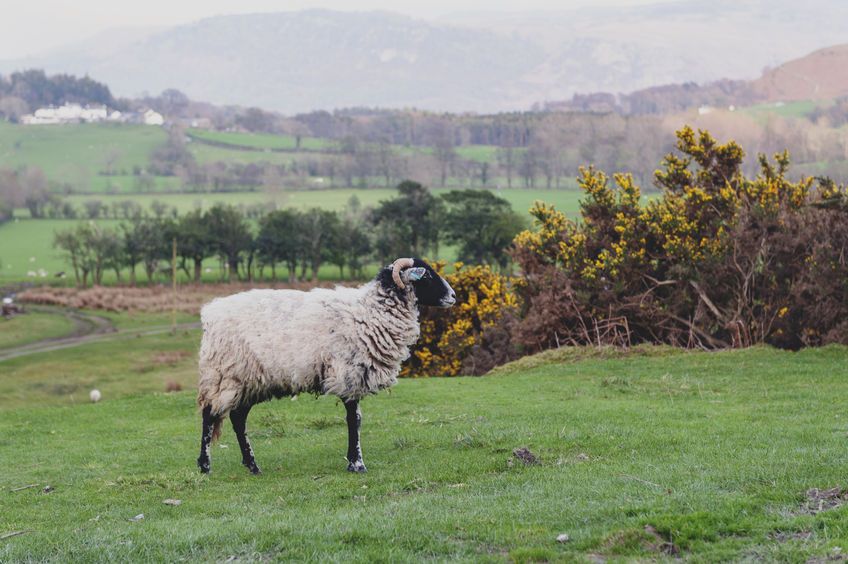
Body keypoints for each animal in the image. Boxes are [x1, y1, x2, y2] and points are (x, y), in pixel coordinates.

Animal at [195, 258, 458, 474]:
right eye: (426, 275)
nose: (454, 296)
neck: (371, 312)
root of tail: (209, 313)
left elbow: (355, 419)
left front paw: (353, 461)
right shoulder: (349, 373)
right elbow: (354, 420)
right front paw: (357, 463)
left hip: (251, 380)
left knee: (238, 418)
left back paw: (252, 466)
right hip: (224, 374)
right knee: (209, 415)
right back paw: (205, 466)